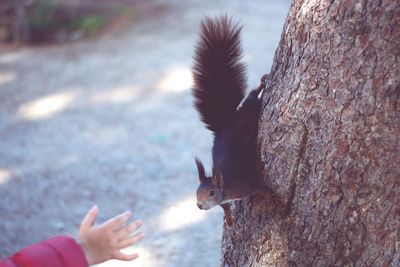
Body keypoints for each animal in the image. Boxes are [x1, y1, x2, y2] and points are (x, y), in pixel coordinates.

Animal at [191, 15, 268, 227]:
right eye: (196, 191)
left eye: (211, 192)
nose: (199, 206)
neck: (225, 189)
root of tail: (226, 123)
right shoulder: (225, 200)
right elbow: (225, 207)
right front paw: (229, 218)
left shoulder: (247, 184)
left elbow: (263, 190)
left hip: (249, 113)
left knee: (251, 98)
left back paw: (261, 85)